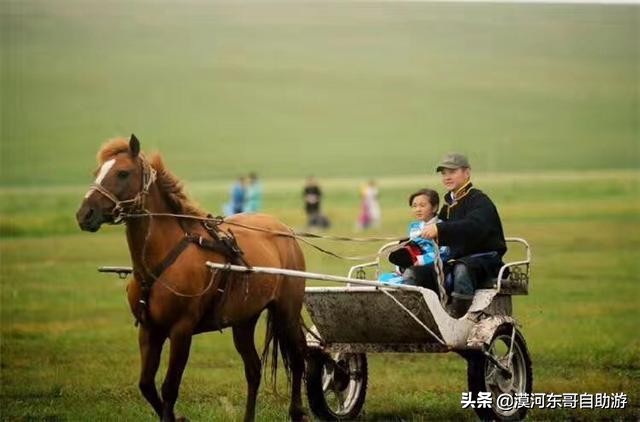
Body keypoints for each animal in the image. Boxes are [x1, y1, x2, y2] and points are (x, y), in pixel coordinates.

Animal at [75, 135, 307, 422]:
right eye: (97, 172)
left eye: (122, 173)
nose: (84, 214)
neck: (160, 260)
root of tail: (285, 230)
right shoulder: (149, 329)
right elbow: (146, 385)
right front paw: (178, 417)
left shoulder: (181, 330)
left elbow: (169, 388)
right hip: (244, 319)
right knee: (253, 369)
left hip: (287, 311)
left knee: (298, 357)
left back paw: (297, 411)